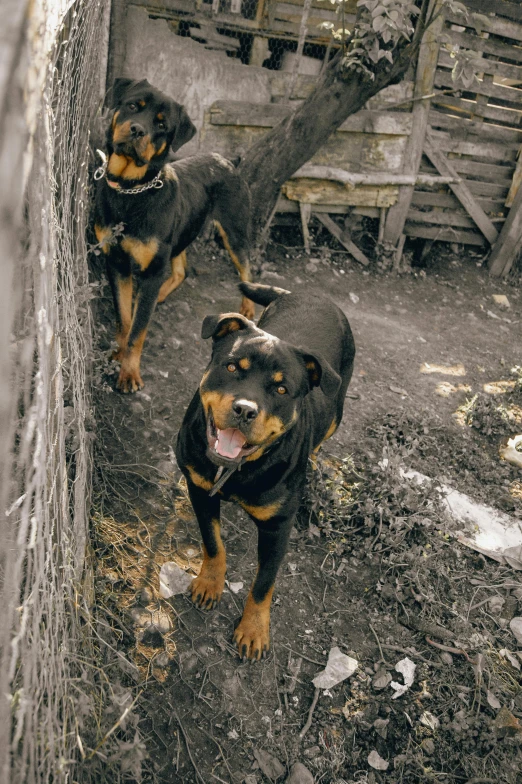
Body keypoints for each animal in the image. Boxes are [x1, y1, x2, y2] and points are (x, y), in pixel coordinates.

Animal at [96, 79, 256, 392]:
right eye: (132, 106)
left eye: (162, 125)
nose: (137, 130)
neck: (131, 191)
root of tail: (228, 160)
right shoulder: (117, 263)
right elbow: (124, 319)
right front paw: (118, 353)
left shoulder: (152, 268)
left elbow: (138, 332)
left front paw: (129, 373)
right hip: (182, 230)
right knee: (181, 270)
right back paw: (157, 296)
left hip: (233, 230)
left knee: (246, 267)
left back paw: (248, 308)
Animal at [175, 284, 354, 660]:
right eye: (231, 367)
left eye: (281, 389)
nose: (245, 409)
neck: (237, 469)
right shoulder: (198, 490)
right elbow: (213, 544)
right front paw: (209, 583)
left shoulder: (277, 527)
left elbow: (263, 583)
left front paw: (253, 630)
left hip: (336, 409)